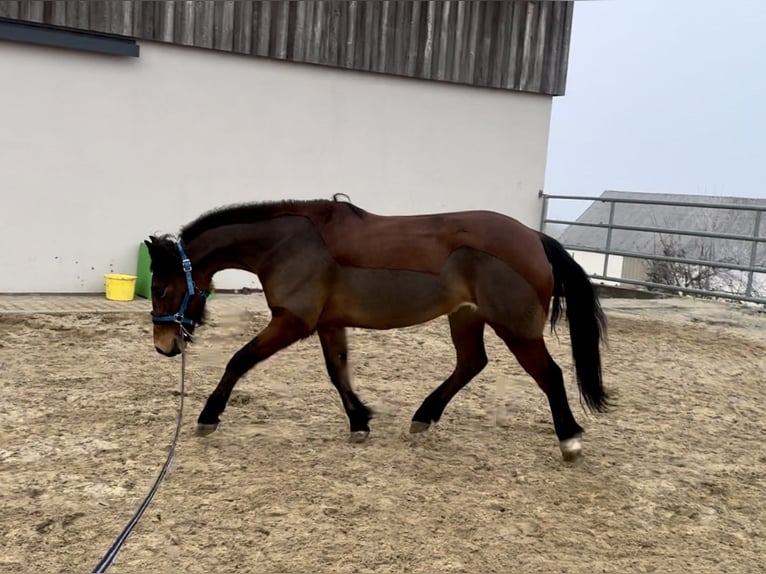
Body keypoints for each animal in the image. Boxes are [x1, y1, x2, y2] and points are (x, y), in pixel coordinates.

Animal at [146, 198, 612, 464]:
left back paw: (569, 439)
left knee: (549, 374)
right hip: (466, 317)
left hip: (515, 327)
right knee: (471, 363)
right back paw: (423, 416)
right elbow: (338, 373)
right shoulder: (328, 324)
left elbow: (239, 360)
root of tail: (533, 236)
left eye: (161, 288)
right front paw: (359, 421)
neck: (288, 243)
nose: (164, 346)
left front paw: (208, 417)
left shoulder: (292, 321)